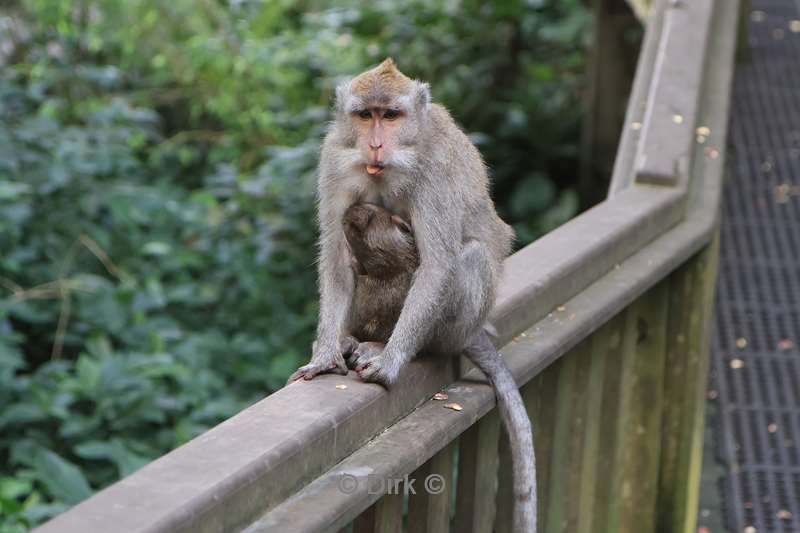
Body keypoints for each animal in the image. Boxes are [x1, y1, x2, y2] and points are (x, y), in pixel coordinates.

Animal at [290, 60, 536, 528]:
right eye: (364, 115)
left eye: (391, 116)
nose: (375, 145)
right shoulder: (334, 160)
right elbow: (337, 258)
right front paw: (326, 354)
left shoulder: (434, 172)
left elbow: (438, 263)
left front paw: (390, 361)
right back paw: (353, 339)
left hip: (454, 326)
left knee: (470, 257)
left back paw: (396, 346)